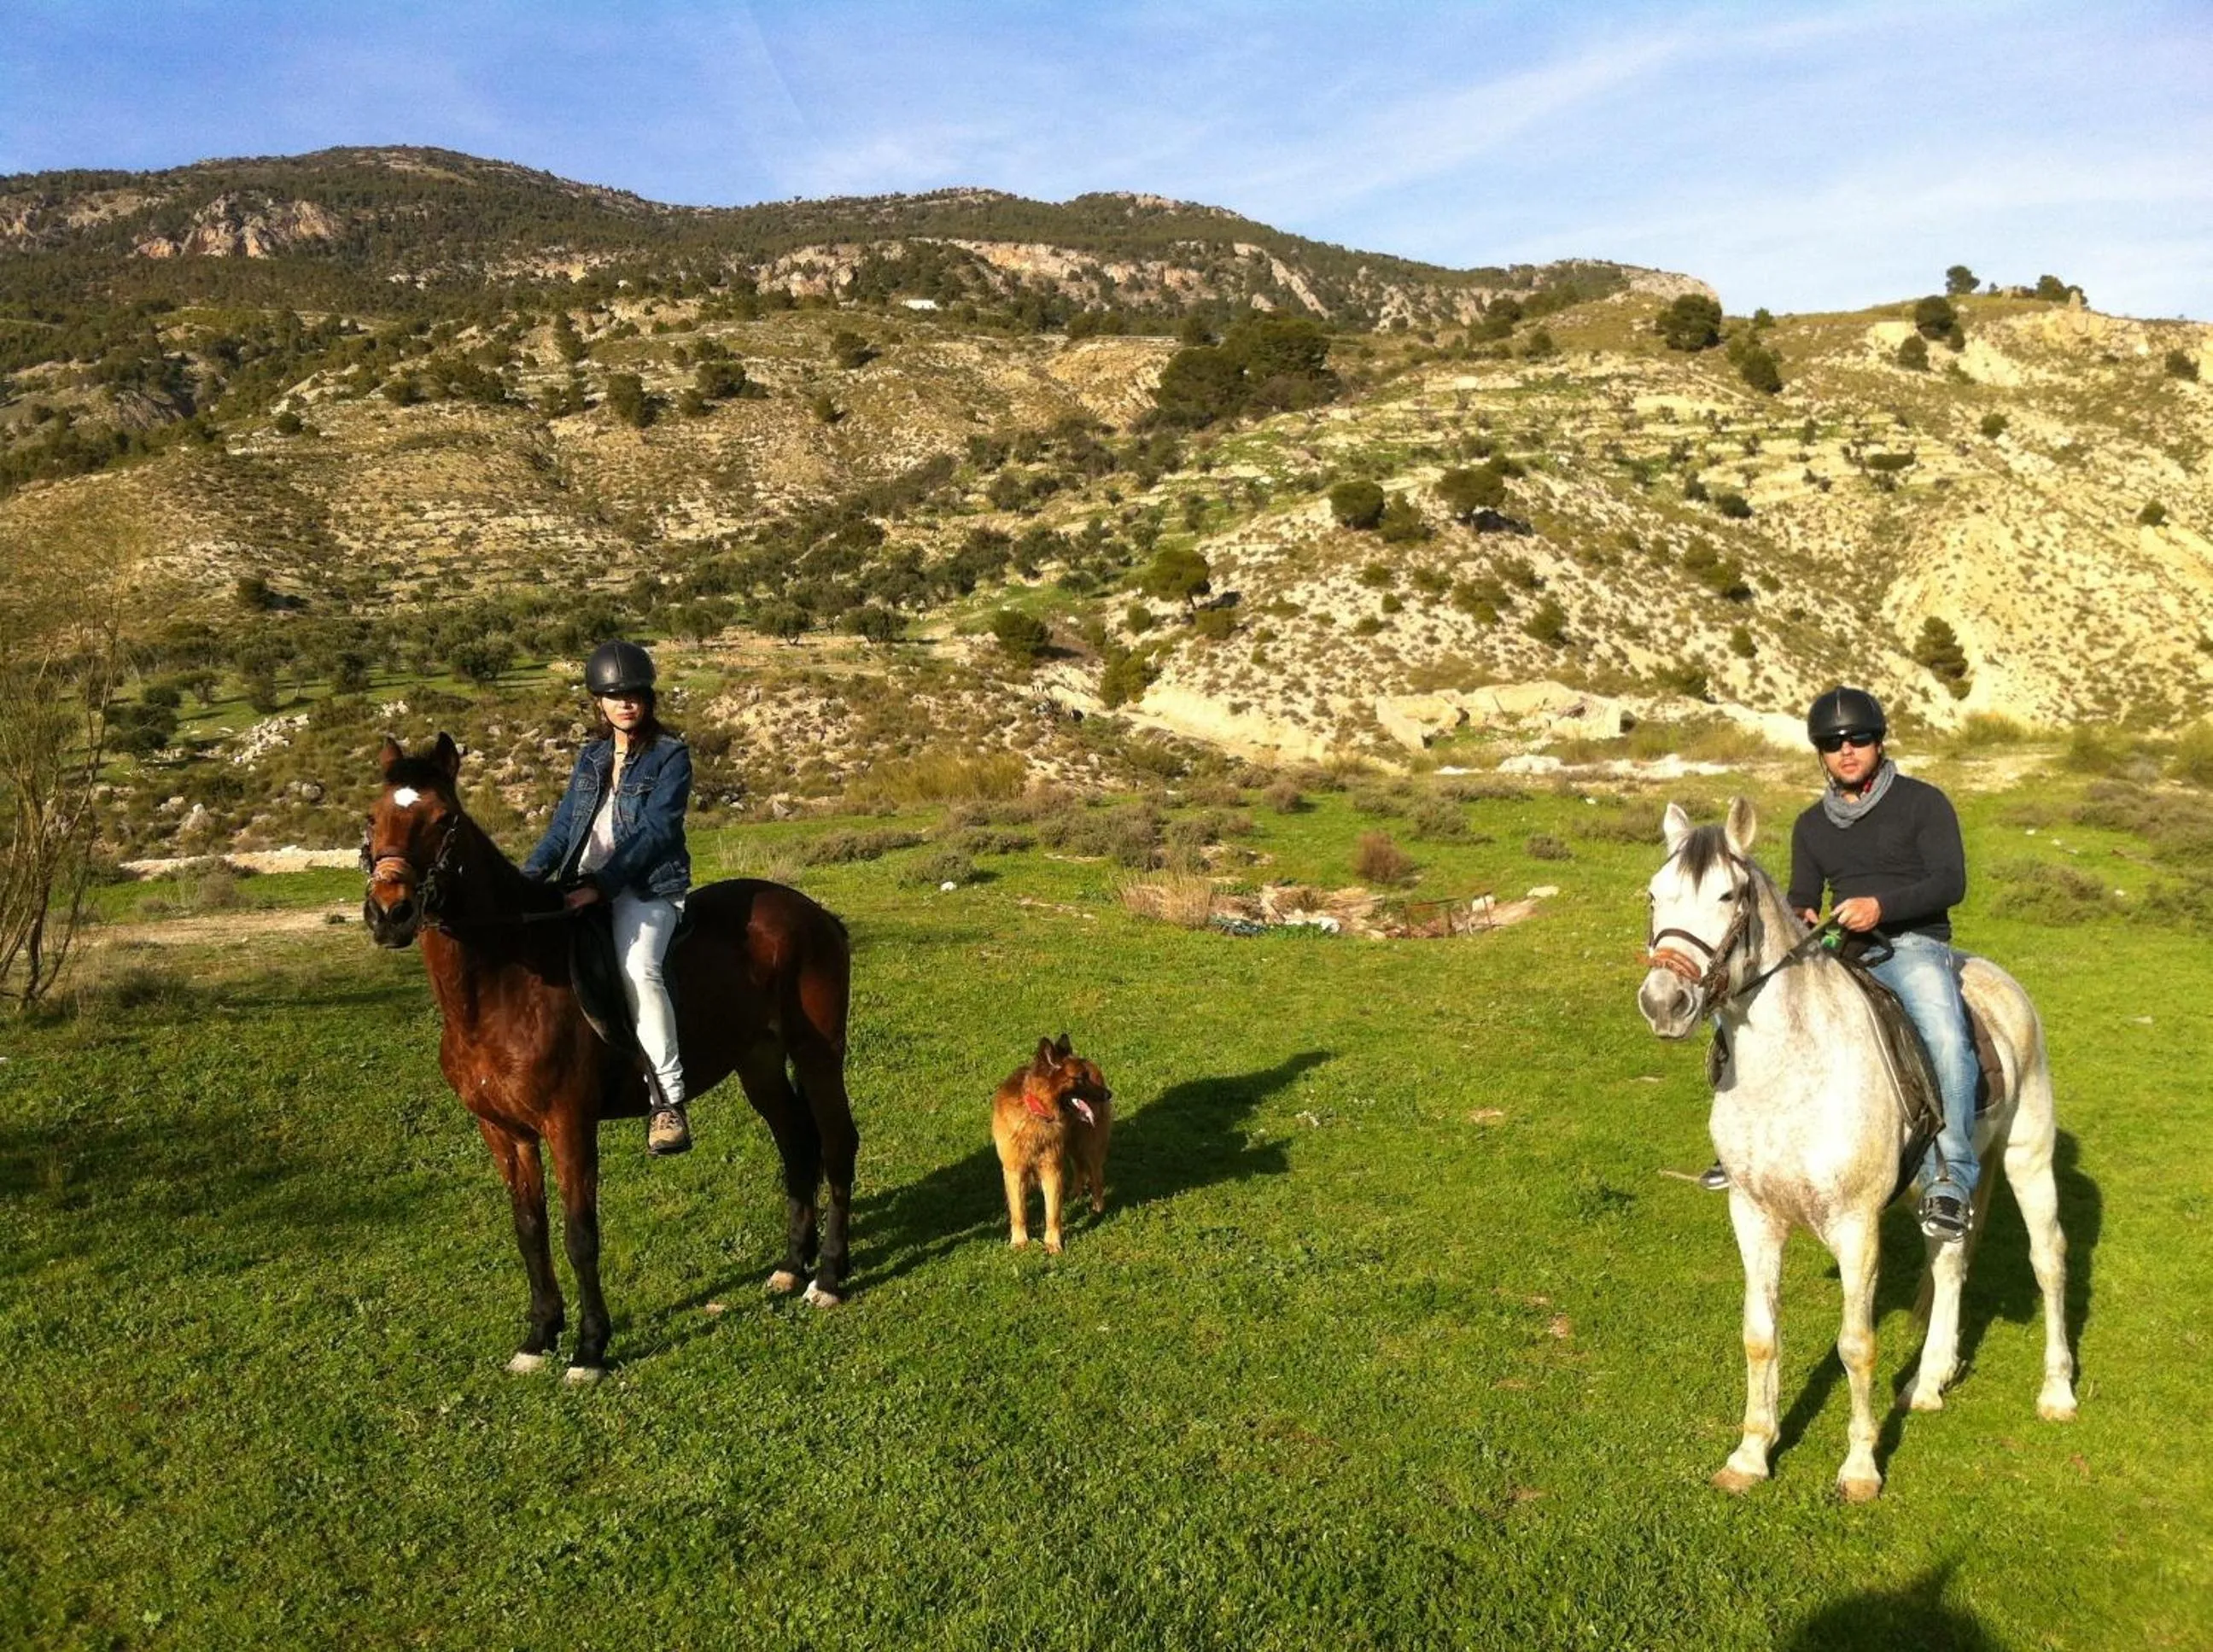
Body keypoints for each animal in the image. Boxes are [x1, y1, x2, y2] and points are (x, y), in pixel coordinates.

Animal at [361, 733, 859, 1383]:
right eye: (372, 819)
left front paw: (590, 1349)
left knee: (836, 1141)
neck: (505, 979)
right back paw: (791, 1268)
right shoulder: (503, 1130)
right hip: (760, 1062)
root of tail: (814, 913)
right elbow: (529, 1230)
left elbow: (580, 1234)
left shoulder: (568, 1123)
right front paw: (539, 1335)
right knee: (796, 1142)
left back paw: (828, 1276)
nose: (389, 912)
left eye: (445, 819)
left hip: (817, 1055)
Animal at [1637, 797, 2075, 1501]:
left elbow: (1856, 1345)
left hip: (2028, 1158)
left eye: (1729, 895)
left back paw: (2057, 1391)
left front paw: (1861, 1467)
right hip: (1938, 1191)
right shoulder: (1753, 1215)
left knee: (2049, 1261)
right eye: (1655, 894)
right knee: (1950, 1262)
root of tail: (2000, 982)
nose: (1663, 1002)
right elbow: (1760, 1336)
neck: (1791, 1070)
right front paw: (1751, 1453)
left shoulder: (1856, 1225)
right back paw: (1927, 1382)